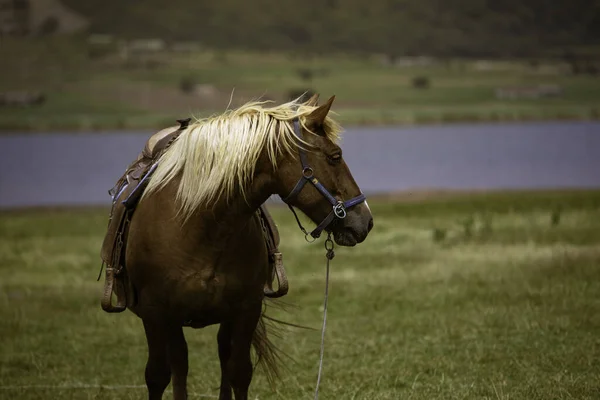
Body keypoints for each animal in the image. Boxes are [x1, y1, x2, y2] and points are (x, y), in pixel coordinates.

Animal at [123, 94, 372, 400]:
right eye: (335, 156)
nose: (366, 220)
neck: (197, 224)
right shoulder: (156, 312)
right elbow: (157, 376)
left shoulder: (245, 309)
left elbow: (239, 373)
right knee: (179, 365)